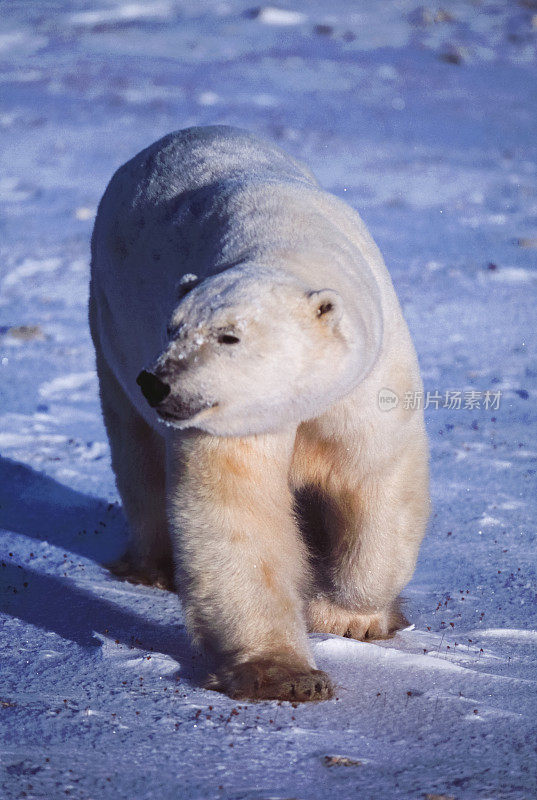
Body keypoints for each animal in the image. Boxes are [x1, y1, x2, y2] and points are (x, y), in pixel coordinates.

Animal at [90, 125, 430, 700]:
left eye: (229, 336)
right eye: (172, 328)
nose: (157, 381)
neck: (290, 241)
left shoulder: (367, 381)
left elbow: (376, 479)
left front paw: (346, 616)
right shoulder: (235, 419)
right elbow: (237, 512)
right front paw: (287, 675)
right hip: (109, 322)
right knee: (137, 452)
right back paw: (151, 567)